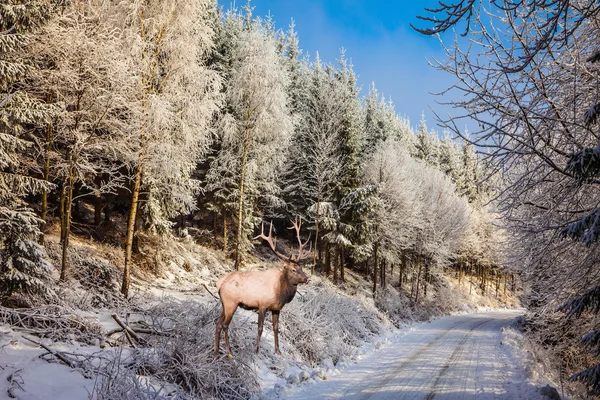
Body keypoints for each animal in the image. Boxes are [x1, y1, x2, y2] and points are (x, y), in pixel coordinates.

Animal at [214, 217, 310, 358]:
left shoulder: (276, 309)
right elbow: (260, 328)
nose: (307, 279)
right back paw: (229, 351)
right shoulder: (262, 304)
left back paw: (216, 350)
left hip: (223, 304)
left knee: (218, 323)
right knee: (225, 325)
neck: (280, 293)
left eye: (301, 268)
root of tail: (219, 283)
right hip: (231, 302)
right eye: (293, 269)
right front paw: (256, 350)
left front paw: (278, 351)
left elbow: (276, 328)